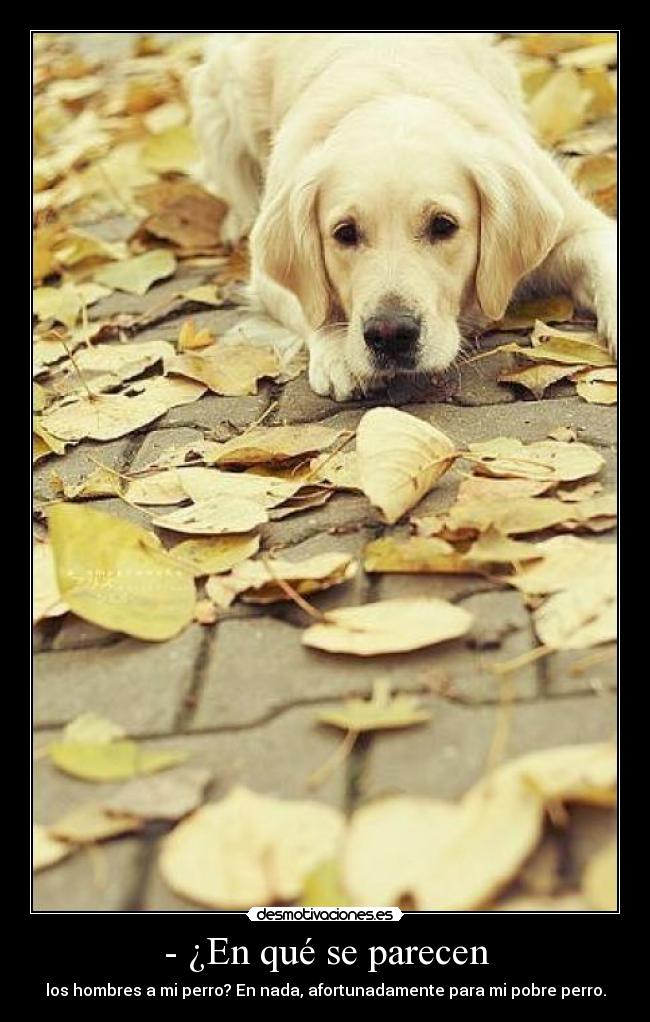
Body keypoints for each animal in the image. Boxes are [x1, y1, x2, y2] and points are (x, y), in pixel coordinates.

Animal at [189, 31, 621, 400]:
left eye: (443, 225)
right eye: (344, 233)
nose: (390, 334)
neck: (392, 94)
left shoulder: (578, 227)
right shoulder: (264, 276)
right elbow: (312, 307)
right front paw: (337, 352)